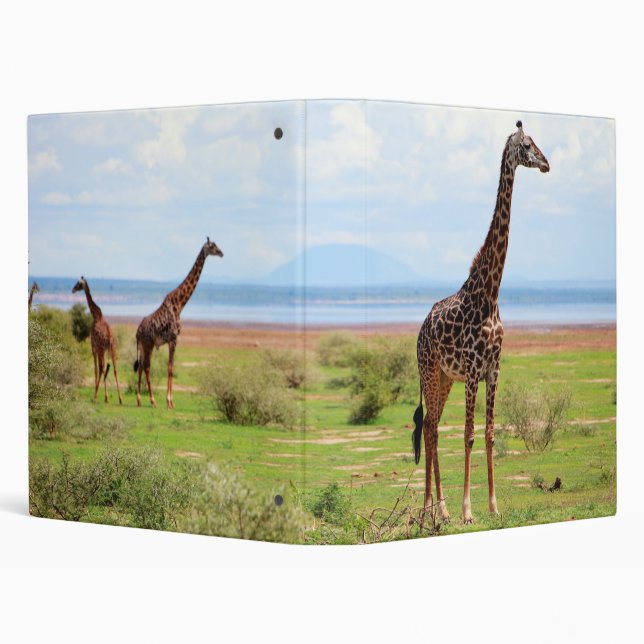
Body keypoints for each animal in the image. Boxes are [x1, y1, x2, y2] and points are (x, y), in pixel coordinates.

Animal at [71, 276, 123, 405]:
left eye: (78, 284)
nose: (72, 290)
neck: (96, 315)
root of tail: (109, 337)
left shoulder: (93, 346)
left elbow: (95, 369)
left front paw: (101, 394)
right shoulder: (103, 350)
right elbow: (105, 369)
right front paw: (106, 396)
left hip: (101, 349)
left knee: (101, 369)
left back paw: (95, 396)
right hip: (113, 349)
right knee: (114, 369)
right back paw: (120, 399)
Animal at [134, 237, 223, 409]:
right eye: (212, 246)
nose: (222, 253)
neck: (180, 304)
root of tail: (138, 331)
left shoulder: (172, 340)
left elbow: (171, 366)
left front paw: (170, 401)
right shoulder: (174, 339)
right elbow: (170, 368)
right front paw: (169, 402)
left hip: (143, 345)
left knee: (141, 366)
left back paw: (140, 400)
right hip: (148, 344)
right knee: (146, 366)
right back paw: (152, 400)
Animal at [413, 121, 549, 524]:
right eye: (527, 146)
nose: (547, 163)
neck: (490, 293)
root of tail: (419, 331)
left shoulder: (494, 369)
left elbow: (488, 434)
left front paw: (492, 505)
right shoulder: (473, 371)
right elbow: (469, 435)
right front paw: (468, 511)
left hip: (444, 379)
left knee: (432, 426)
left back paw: (438, 509)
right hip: (430, 372)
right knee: (430, 429)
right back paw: (431, 509)